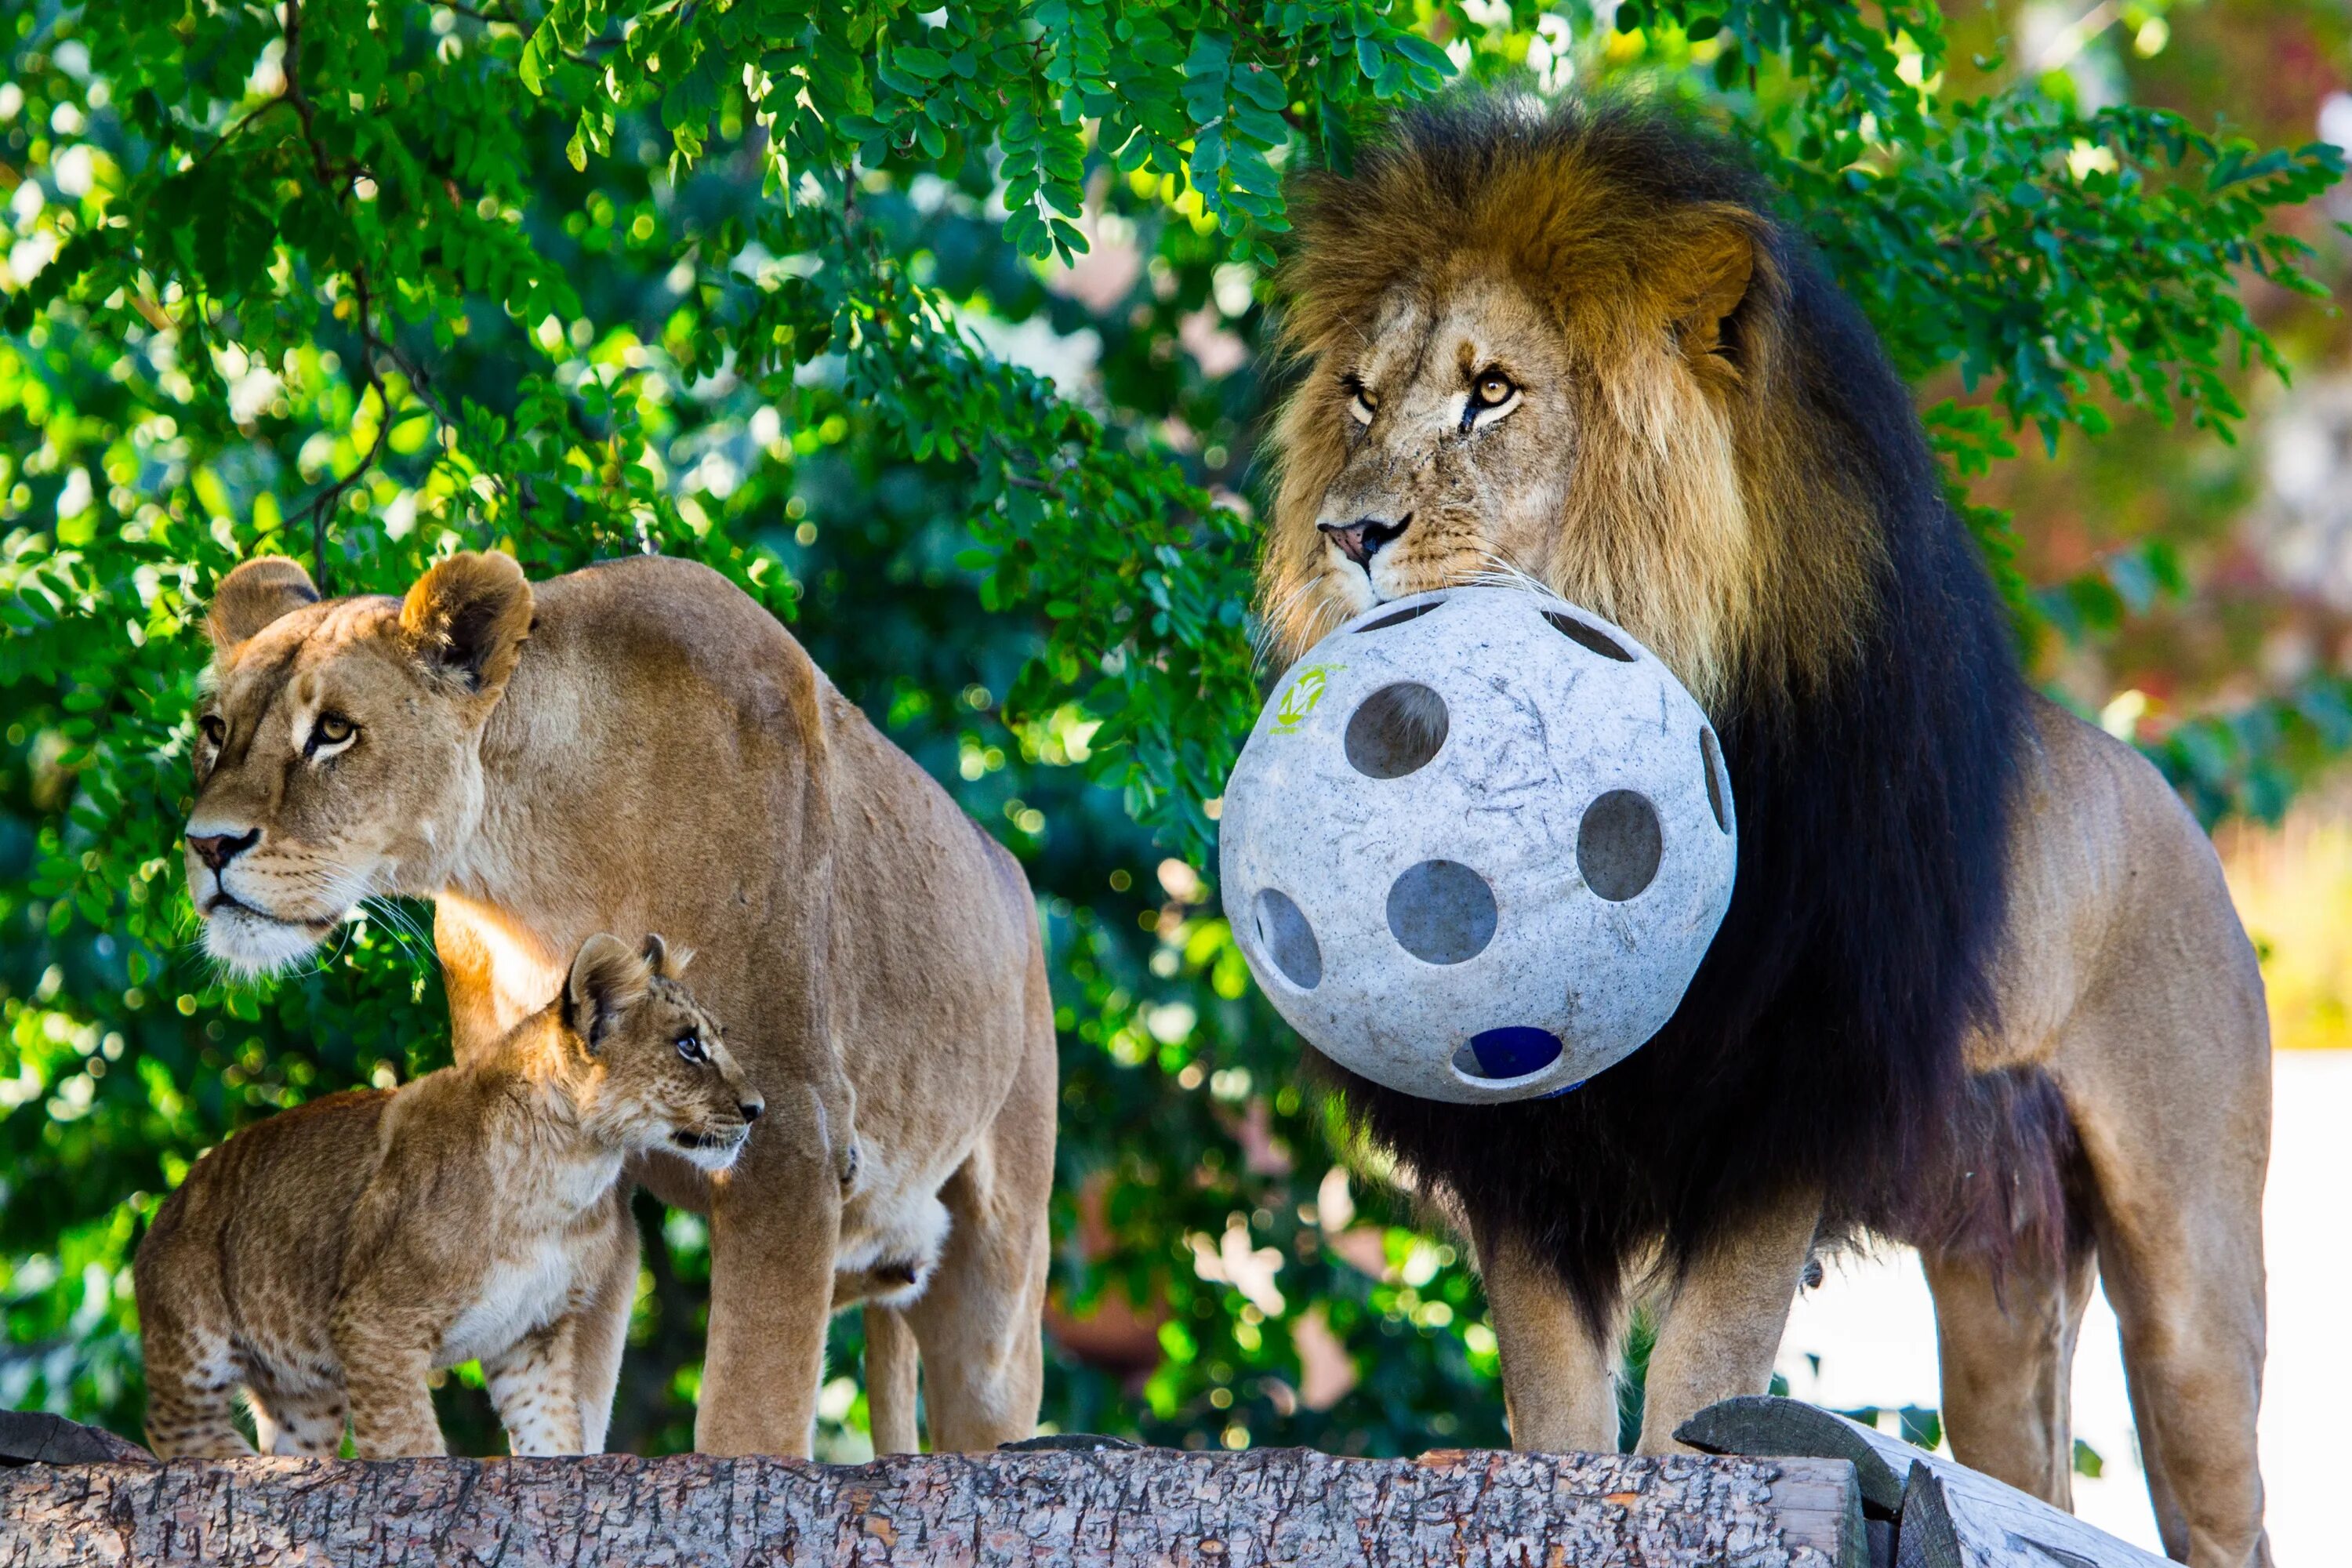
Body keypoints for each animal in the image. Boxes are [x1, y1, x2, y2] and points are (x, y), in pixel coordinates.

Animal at [188, 552, 1054, 1457]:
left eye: (334, 731)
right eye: (214, 730)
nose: (206, 844)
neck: (528, 869)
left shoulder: (792, 1136)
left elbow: (752, 1409)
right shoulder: (551, 1146)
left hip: (997, 1278)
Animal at [1261, 98, 2267, 1568]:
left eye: (1493, 391)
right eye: (1361, 398)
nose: (1348, 534)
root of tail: (2172, 806)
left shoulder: (1785, 1088)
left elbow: (1703, 1374)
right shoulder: (1521, 1136)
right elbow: (1554, 1394)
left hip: (2193, 1276)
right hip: (1999, 1282)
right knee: (2027, 1477)